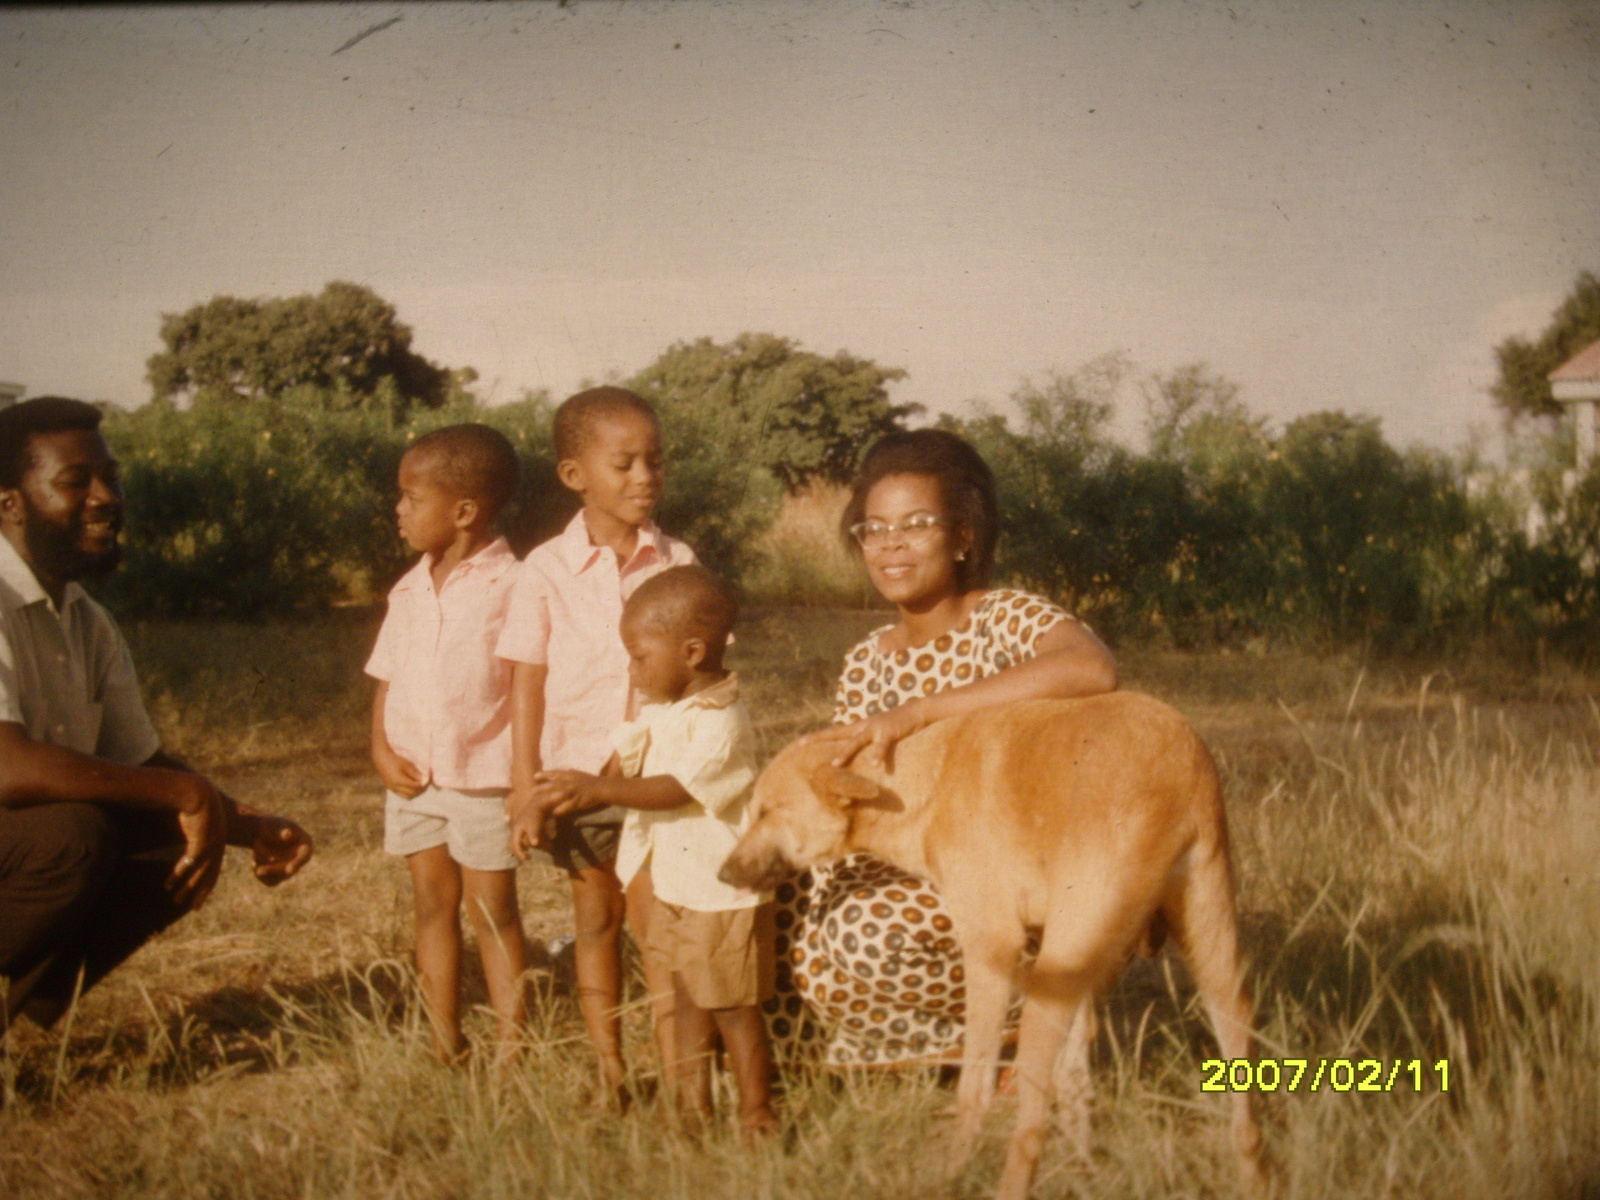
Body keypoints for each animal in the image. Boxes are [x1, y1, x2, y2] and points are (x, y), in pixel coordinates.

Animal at [723, 694, 1260, 1200]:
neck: (925, 784)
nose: (723, 873)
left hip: (1049, 992)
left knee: (1029, 1130)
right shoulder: (1056, 959)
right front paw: (1083, 1168)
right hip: (1207, 961)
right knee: (1242, 1096)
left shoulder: (991, 951)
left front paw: (956, 1169)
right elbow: (1075, 1085)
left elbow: (973, 1088)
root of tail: (1176, 767)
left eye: (766, 810)